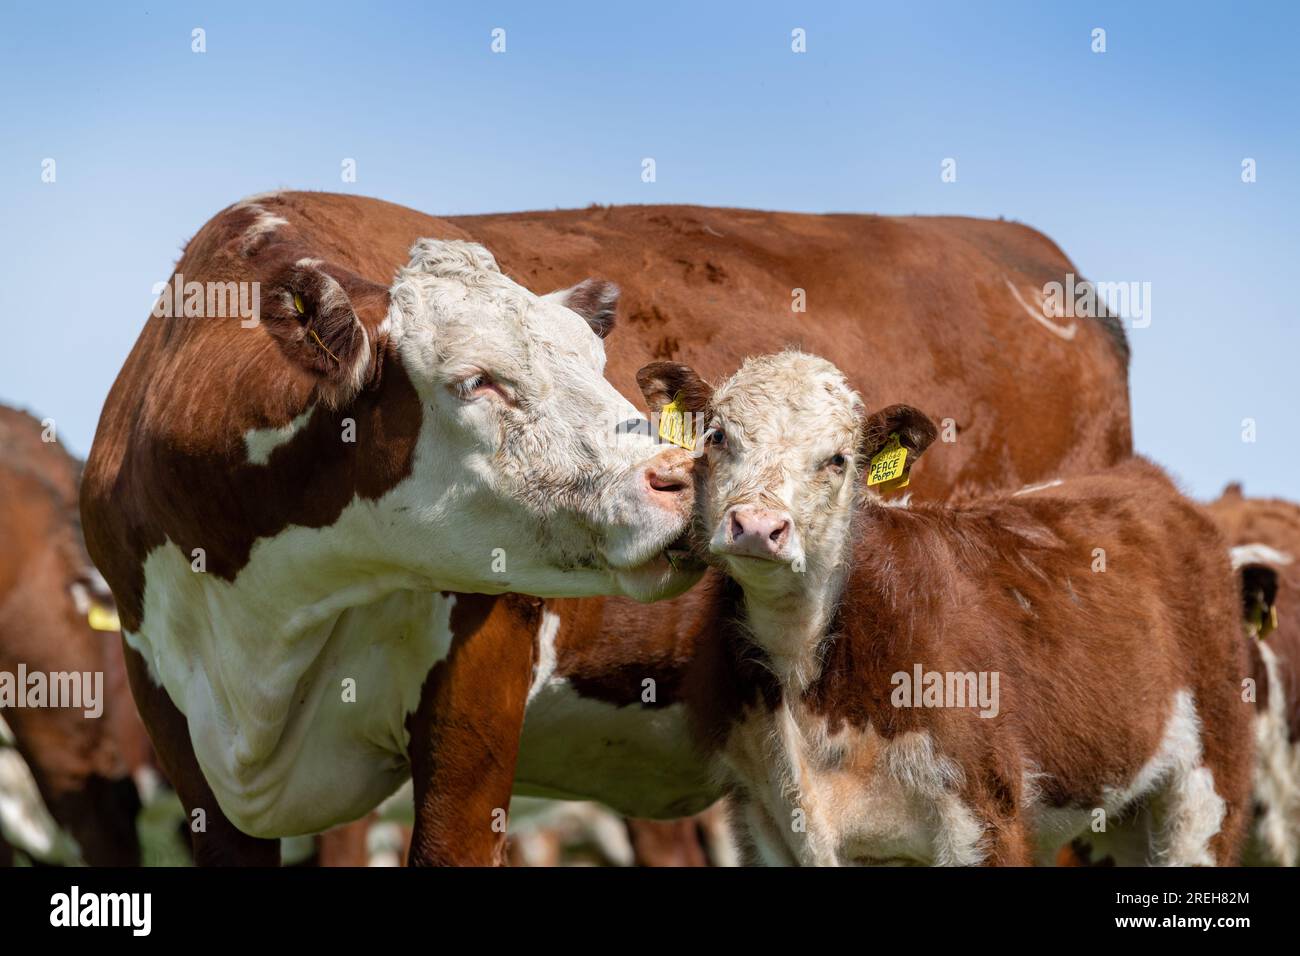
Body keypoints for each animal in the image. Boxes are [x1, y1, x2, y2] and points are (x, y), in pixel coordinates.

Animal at [634, 351, 1253, 868]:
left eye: (837, 460)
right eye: (717, 437)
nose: (759, 527)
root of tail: (1147, 481)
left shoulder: (986, 812)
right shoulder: (767, 820)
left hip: (1207, 789)